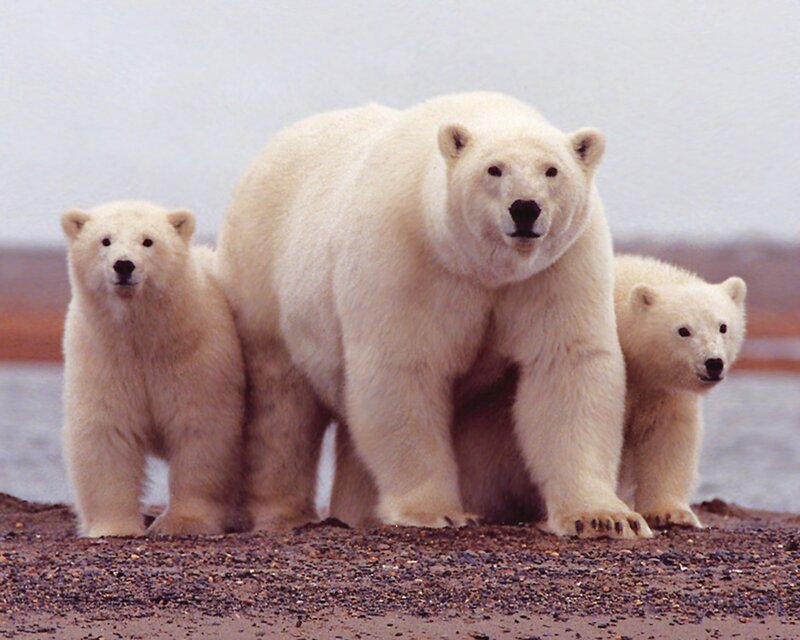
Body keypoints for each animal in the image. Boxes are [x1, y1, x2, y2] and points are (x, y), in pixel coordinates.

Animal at [61, 200, 245, 537]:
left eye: (148, 241)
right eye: (105, 240)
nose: (123, 266)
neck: (145, 338)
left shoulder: (196, 358)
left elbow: (201, 430)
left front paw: (183, 522)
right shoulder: (104, 358)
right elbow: (107, 432)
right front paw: (115, 527)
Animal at [217, 92, 651, 538]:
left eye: (552, 170)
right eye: (494, 169)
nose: (525, 208)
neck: (482, 268)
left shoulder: (556, 269)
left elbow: (567, 365)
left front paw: (604, 517)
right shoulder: (408, 260)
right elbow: (403, 370)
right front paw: (436, 511)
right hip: (263, 277)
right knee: (281, 406)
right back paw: (283, 513)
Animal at [330, 254, 747, 531]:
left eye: (723, 326)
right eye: (683, 330)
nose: (713, 363)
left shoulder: (660, 389)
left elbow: (668, 438)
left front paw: (671, 513)